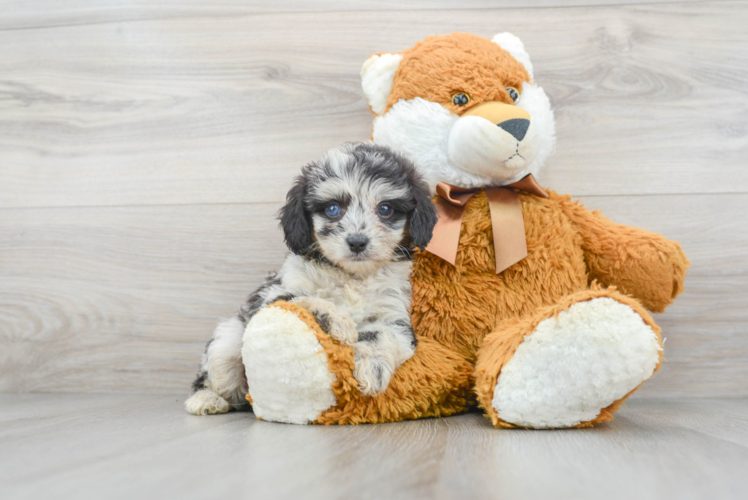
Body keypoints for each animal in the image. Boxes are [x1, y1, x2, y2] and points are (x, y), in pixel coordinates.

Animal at [185, 143, 438, 416]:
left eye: (386, 209)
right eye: (332, 209)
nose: (357, 242)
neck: (351, 275)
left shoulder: (394, 315)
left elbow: (383, 334)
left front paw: (373, 368)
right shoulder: (272, 294)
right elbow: (302, 299)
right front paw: (338, 320)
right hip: (226, 344)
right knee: (217, 378)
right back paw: (206, 399)